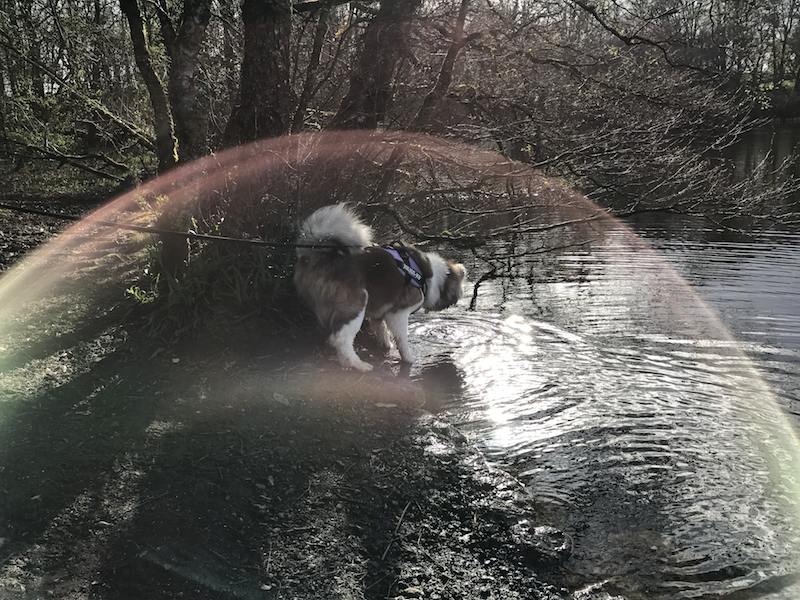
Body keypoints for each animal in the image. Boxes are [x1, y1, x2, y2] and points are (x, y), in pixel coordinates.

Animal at [296, 204, 466, 368]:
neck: (428, 276)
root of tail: (321, 256)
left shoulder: (378, 314)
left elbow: (382, 331)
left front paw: (386, 347)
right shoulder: (398, 314)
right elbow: (402, 339)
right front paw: (409, 358)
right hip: (355, 304)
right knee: (340, 339)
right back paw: (358, 364)